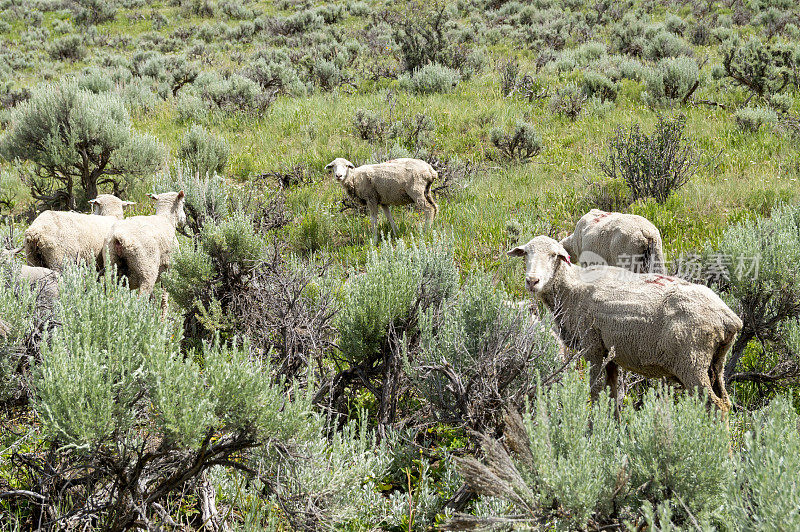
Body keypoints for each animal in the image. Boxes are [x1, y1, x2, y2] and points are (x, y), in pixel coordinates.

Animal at [510, 237, 740, 416]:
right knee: (726, 402)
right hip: (716, 362)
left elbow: (595, 391)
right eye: (526, 253)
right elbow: (613, 395)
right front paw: (615, 428)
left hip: (692, 362)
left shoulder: (592, 346)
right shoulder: (610, 353)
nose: (532, 281)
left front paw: (593, 429)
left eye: (553, 255)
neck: (570, 288)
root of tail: (729, 318)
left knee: (716, 406)